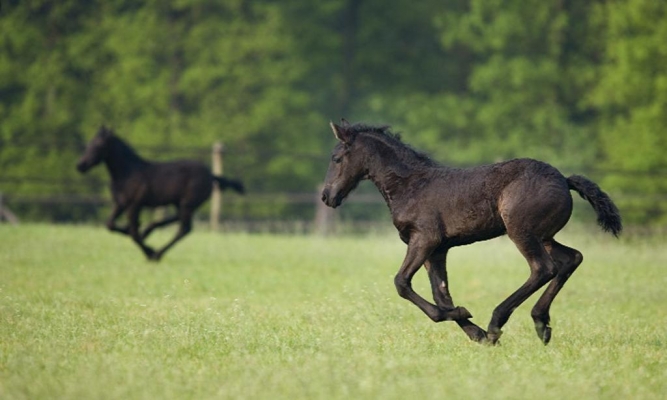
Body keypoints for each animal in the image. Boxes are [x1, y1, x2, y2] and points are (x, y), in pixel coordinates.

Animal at [77, 126, 245, 260]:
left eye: (99, 145)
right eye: (88, 144)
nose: (80, 165)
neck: (127, 172)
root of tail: (211, 175)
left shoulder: (134, 204)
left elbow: (133, 233)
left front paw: (149, 251)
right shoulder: (120, 203)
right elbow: (110, 224)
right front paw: (135, 232)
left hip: (187, 203)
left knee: (184, 229)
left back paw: (157, 253)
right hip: (180, 203)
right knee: (177, 219)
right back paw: (148, 230)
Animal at [320, 118, 624, 344]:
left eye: (336, 158)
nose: (326, 196)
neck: (411, 185)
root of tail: (564, 179)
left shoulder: (424, 239)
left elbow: (402, 283)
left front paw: (476, 326)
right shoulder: (437, 249)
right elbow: (441, 295)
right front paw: (473, 330)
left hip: (522, 231)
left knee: (543, 268)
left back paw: (497, 321)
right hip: (544, 236)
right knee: (572, 258)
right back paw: (541, 323)